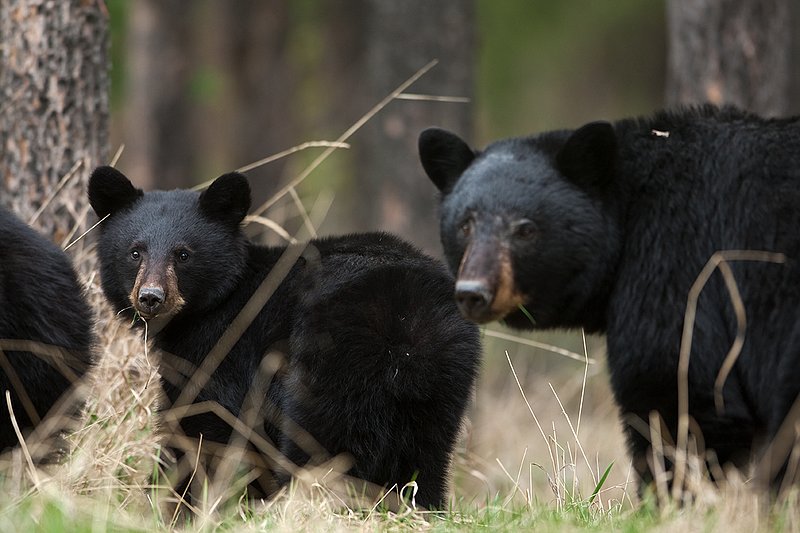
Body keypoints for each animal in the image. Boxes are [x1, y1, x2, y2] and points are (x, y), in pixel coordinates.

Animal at [87, 166, 481, 509]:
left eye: (183, 254)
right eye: (134, 252)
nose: (151, 297)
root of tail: (406, 310)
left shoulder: (224, 346)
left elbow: (200, 424)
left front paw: (178, 502)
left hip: (331, 360)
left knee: (320, 440)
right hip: (445, 373)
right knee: (427, 453)